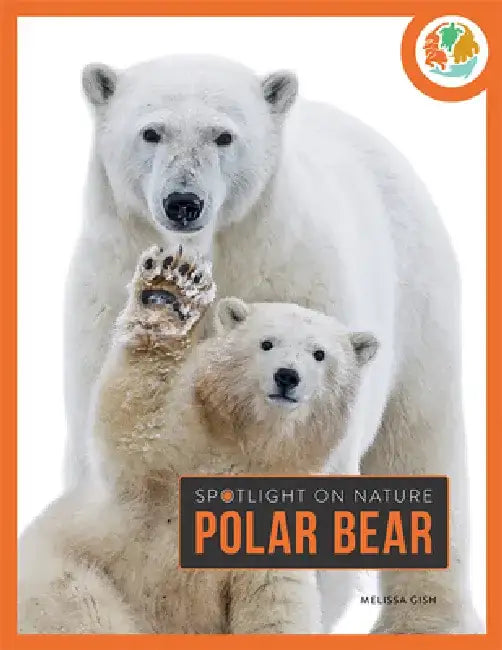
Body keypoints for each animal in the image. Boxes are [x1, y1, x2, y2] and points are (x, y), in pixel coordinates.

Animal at [19, 245, 379, 634]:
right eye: (266, 343)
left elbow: (275, 603)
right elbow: (141, 429)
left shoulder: (278, 525)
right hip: (66, 571)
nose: (287, 376)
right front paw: (170, 291)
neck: (249, 447)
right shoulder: (177, 462)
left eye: (319, 353)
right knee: (85, 610)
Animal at [63, 54, 480, 632]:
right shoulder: (106, 296)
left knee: (419, 440)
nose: (184, 202)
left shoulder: (295, 280)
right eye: (151, 131)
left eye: (223, 135)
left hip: (420, 298)